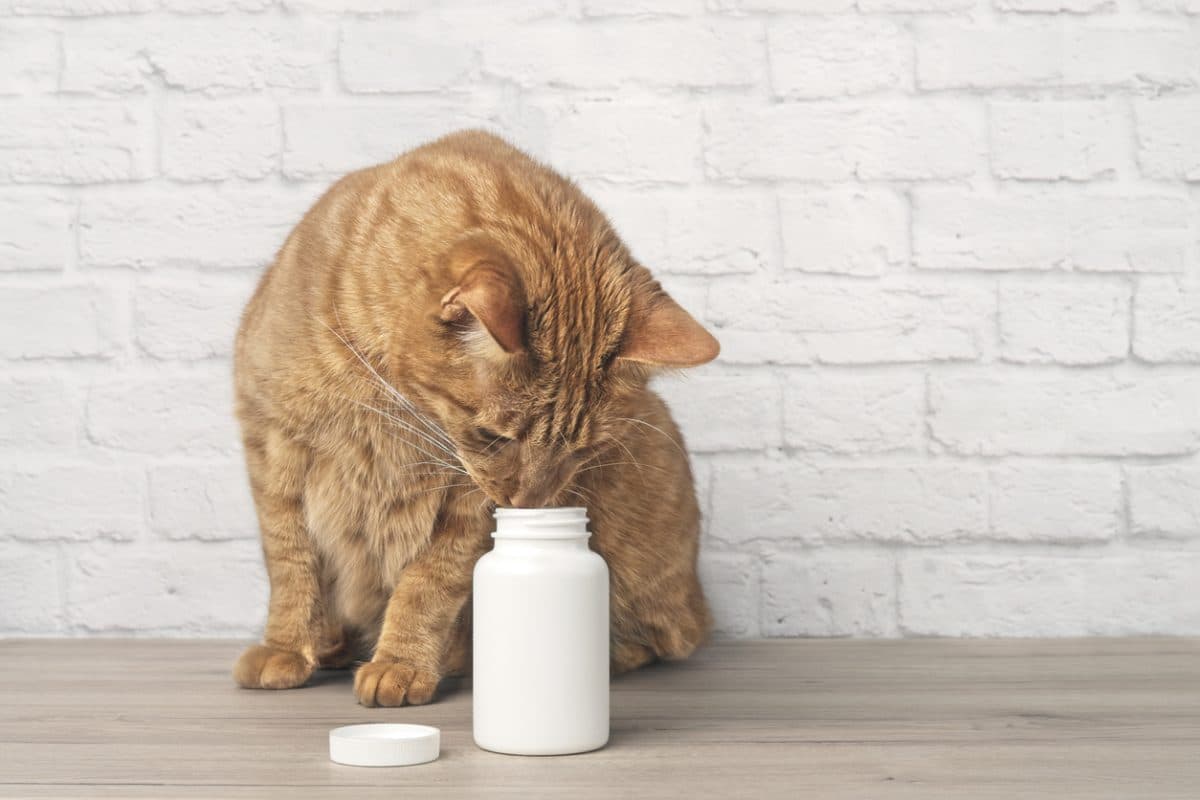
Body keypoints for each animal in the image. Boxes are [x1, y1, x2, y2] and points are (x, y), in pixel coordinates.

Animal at [235, 130, 720, 705]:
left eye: (583, 450)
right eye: (494, 436)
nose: (526, 505)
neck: (385, 398)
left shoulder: (466, 504)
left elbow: (428, 584)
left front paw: (401, 663)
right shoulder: (270, 443)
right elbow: (290, 566)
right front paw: (285, 647)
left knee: (652, 641)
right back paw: (333, 642)